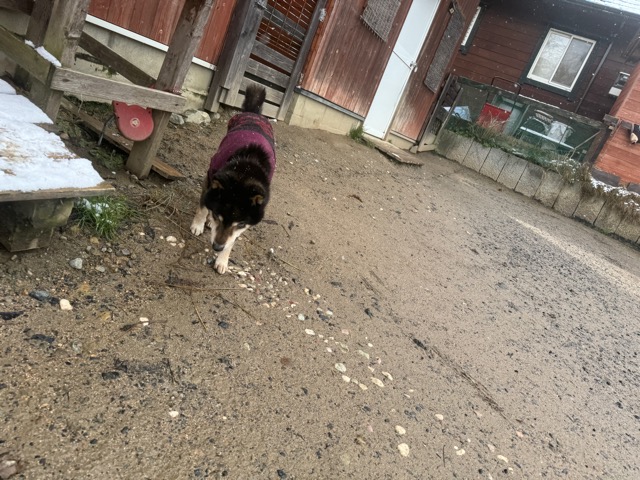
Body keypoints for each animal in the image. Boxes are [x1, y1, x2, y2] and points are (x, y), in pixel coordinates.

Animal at [190, 84, 276, 274]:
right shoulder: (210, 178)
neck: (245, 171)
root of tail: (254, 113)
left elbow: (232, 240)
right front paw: (198, 224)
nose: (216, 247)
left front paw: (223, 260)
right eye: (218, 215)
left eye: (241, 224)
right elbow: (203, 207)